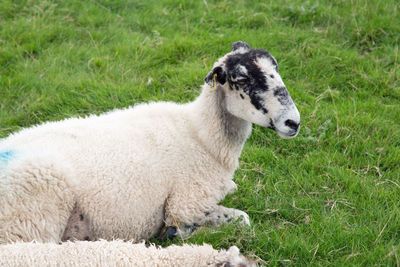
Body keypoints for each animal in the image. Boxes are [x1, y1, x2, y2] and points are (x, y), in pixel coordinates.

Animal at [0, 41, 300, 245]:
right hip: (32, 217)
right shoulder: (186, 203)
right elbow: (243, 219)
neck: (201, 135)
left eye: (276, 69)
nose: (293, 122)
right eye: (242, 78)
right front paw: (176, 231)